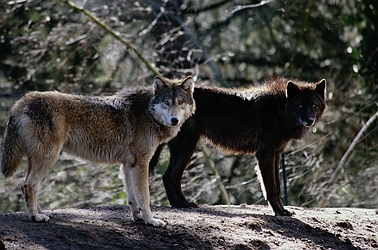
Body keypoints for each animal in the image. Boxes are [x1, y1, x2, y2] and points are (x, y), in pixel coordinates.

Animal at [0, 75, 195, 227]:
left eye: (180, 102)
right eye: (166, 102)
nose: (175, 120)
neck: (148, 112)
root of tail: (25, 98)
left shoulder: (128, 164)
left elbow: (132, 197)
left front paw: (138, 218)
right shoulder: (141, 162)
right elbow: (144, 197)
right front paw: (151, 221)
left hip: (37, 159)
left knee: (28, 185)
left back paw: (42, 213)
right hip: (49, 157)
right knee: (28, 185)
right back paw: (35, 217)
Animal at [149, 77, 326, 215]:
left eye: (314, 105)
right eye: (300, 105)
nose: (310, 120)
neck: (279, 110)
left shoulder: (276, 154)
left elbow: (277, 187)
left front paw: (282, 210)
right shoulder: (265, 154)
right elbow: (271, 188)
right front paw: (279, 212)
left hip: (188, 149)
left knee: (175, 177)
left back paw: (185, 203)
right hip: (185, 147)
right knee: (168, 176)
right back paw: (177, 204)